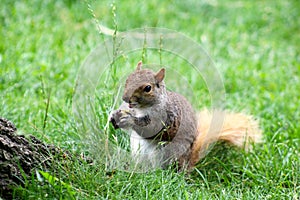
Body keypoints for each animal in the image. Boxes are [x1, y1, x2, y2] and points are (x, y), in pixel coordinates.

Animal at [109, 61, 262, 170]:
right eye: (128, 79)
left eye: (148, 88)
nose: (125, 98)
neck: (143, 109)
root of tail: (188, 165)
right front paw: (115, 115)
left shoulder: (168, 117)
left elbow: (151, 129)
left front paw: (129, 120)